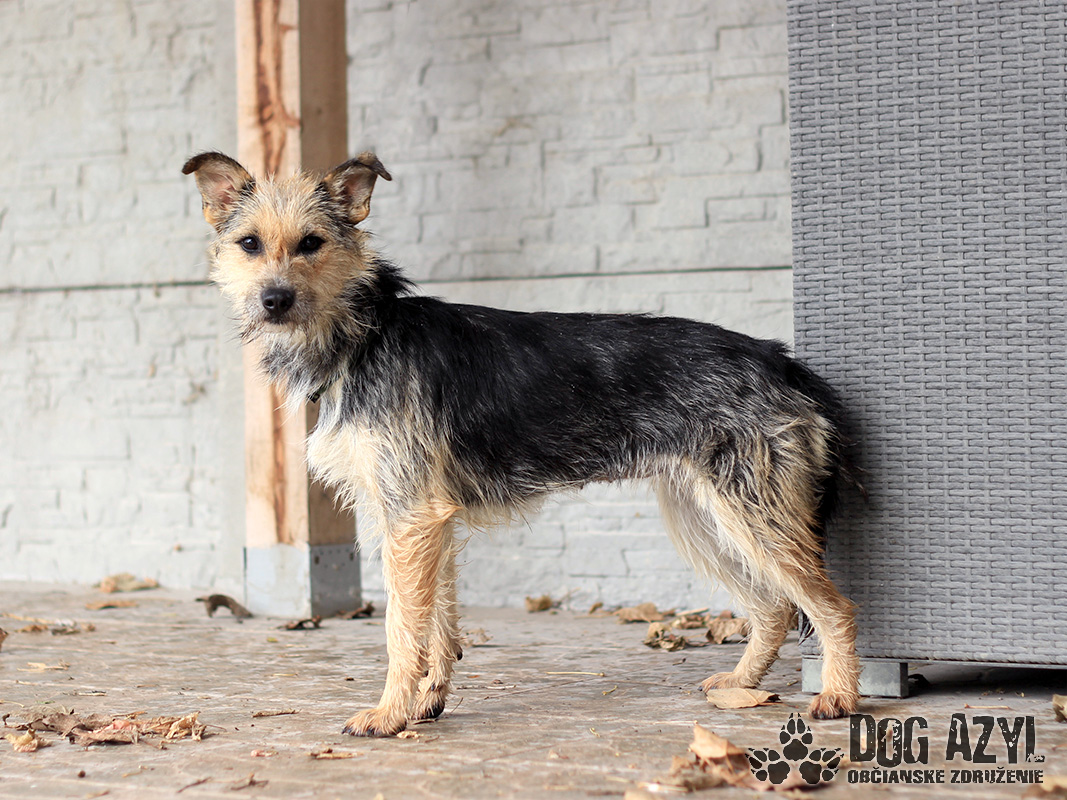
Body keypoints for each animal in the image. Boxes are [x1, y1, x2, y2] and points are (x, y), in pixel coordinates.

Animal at [183, 151, 861, 736]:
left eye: (311, 244)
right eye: (249, 244)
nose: (274, 300)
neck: (366, 332)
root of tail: (779, 358)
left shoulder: (411, 518)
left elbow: (403, 627)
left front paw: (390, 713)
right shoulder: (422, 521)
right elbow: (439, 622)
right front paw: (428, 701)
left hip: (751, 512)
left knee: (833, 606)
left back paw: (839, 697)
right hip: (702, 515)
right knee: (772, 607)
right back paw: (744, 685)